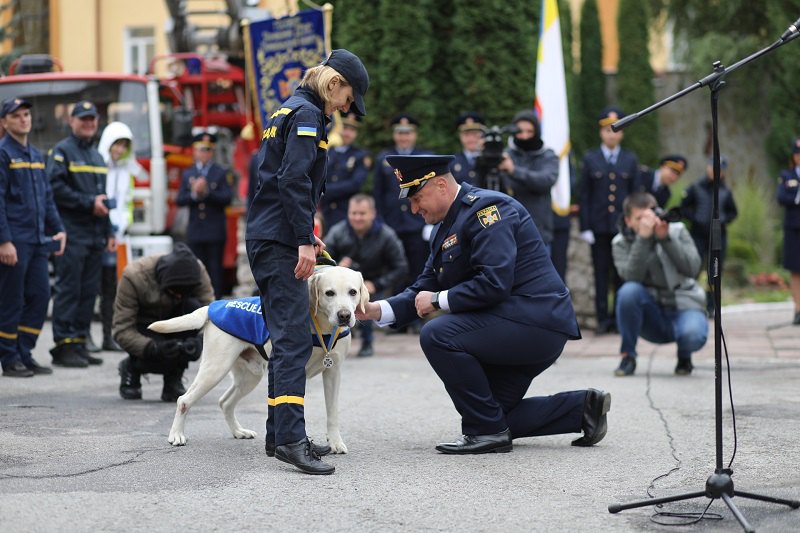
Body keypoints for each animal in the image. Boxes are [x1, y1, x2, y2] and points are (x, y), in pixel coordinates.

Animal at [148, 264, 368, 450]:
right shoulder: (295, 371)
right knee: (184, 400)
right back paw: (176, 435)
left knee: (225, 402)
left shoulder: (333, 372)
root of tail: (213, 306)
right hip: (215, 369)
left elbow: (332, 412)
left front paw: (335, 442)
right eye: (329, 293)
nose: (344, 315)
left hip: (250, 376)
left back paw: (238, 431)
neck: (322, 327)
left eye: (353, 292)